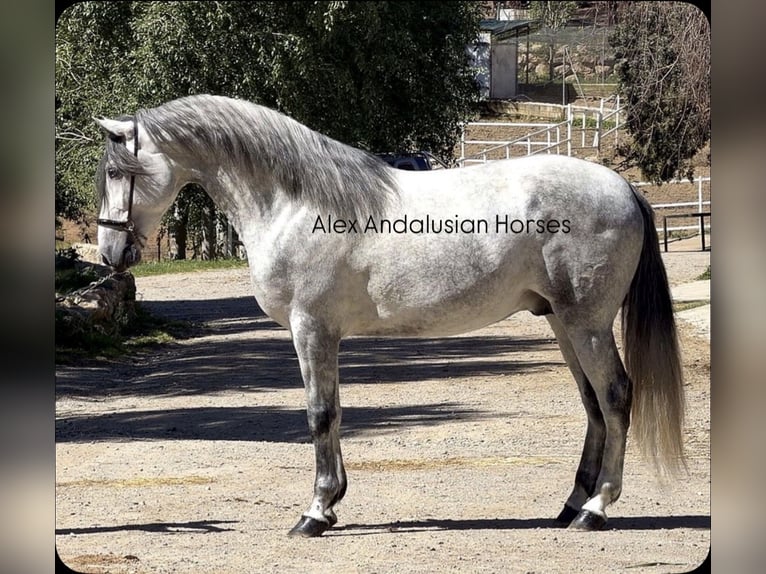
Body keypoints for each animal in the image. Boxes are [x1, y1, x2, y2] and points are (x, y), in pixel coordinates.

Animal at [95, 94, 685, 538]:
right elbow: (332, 412)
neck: (295, 204)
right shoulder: (321, 333)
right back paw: (569, 505)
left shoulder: (311, 329)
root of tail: (623, 187)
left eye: (116, 171)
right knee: (592, 404)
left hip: (587, 324)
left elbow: (319, 414)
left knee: (615, 397)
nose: (109, 253)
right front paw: (333, 502)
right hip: (563, 323)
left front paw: (315, 512)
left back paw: (596, 509)